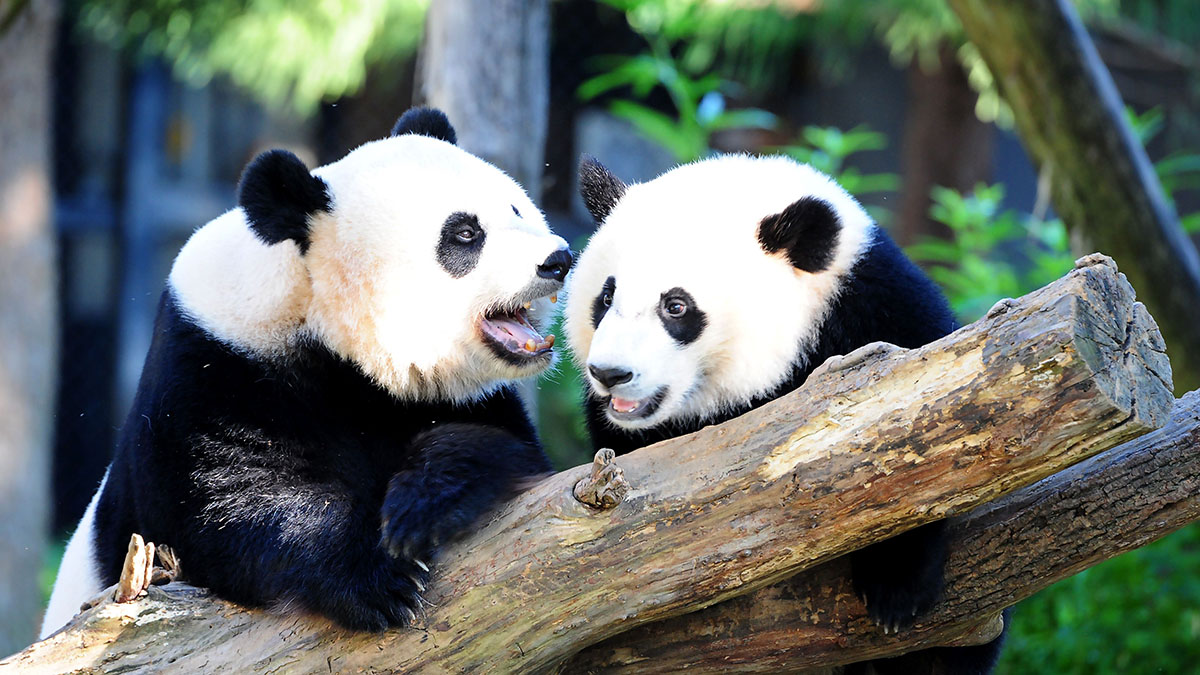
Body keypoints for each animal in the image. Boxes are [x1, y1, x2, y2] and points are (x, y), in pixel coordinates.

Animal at [41, 108, 570, 637]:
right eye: (464, 233)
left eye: (517, 210)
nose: (559, 259)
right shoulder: (210, 371)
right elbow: (230, 503)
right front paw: (382, 582)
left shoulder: (447, 397)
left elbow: (510, 452)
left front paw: (421, 504)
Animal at [564, 153, 1005, 674]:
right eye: (606, 298)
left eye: (676, 306)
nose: (610, 373)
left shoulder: (879, 318)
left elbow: (925, 448)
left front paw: (895, 593)